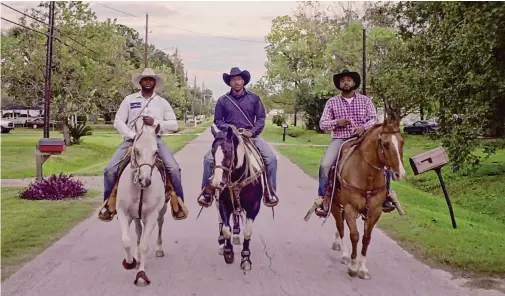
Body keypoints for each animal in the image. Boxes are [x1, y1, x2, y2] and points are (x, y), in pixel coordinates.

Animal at [114, 119, 165, 286]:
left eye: (156, 152)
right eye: (136, 151)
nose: (145, 180)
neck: (139, 189)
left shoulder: (151, 216)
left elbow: (144, 245)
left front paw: (141, 274)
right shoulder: (123, 212)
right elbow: (126, 241)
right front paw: (130, 262)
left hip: (162, 211)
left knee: (160, 225)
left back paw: (159, 249)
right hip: (136, 216)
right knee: (137, 231)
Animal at [318, 114, 406, 278]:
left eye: (402, 142)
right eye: (385, 144)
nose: (400, 173)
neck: (367, 176)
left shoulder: (375, 211)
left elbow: (366, 238)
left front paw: (363, 268)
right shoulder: (350, 208)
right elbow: (354, 235)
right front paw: (353, 266)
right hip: (334, 206)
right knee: (341, 227)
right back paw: (345, 254)